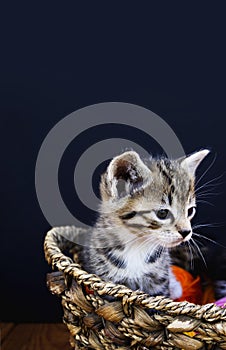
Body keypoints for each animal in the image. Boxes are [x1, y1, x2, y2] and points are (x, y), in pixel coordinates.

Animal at [80, 149, 209, 300]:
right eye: (162, 213)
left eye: (190, 211)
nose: (186, 232)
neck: (136, 245)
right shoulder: (106, 283)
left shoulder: (159, 284)